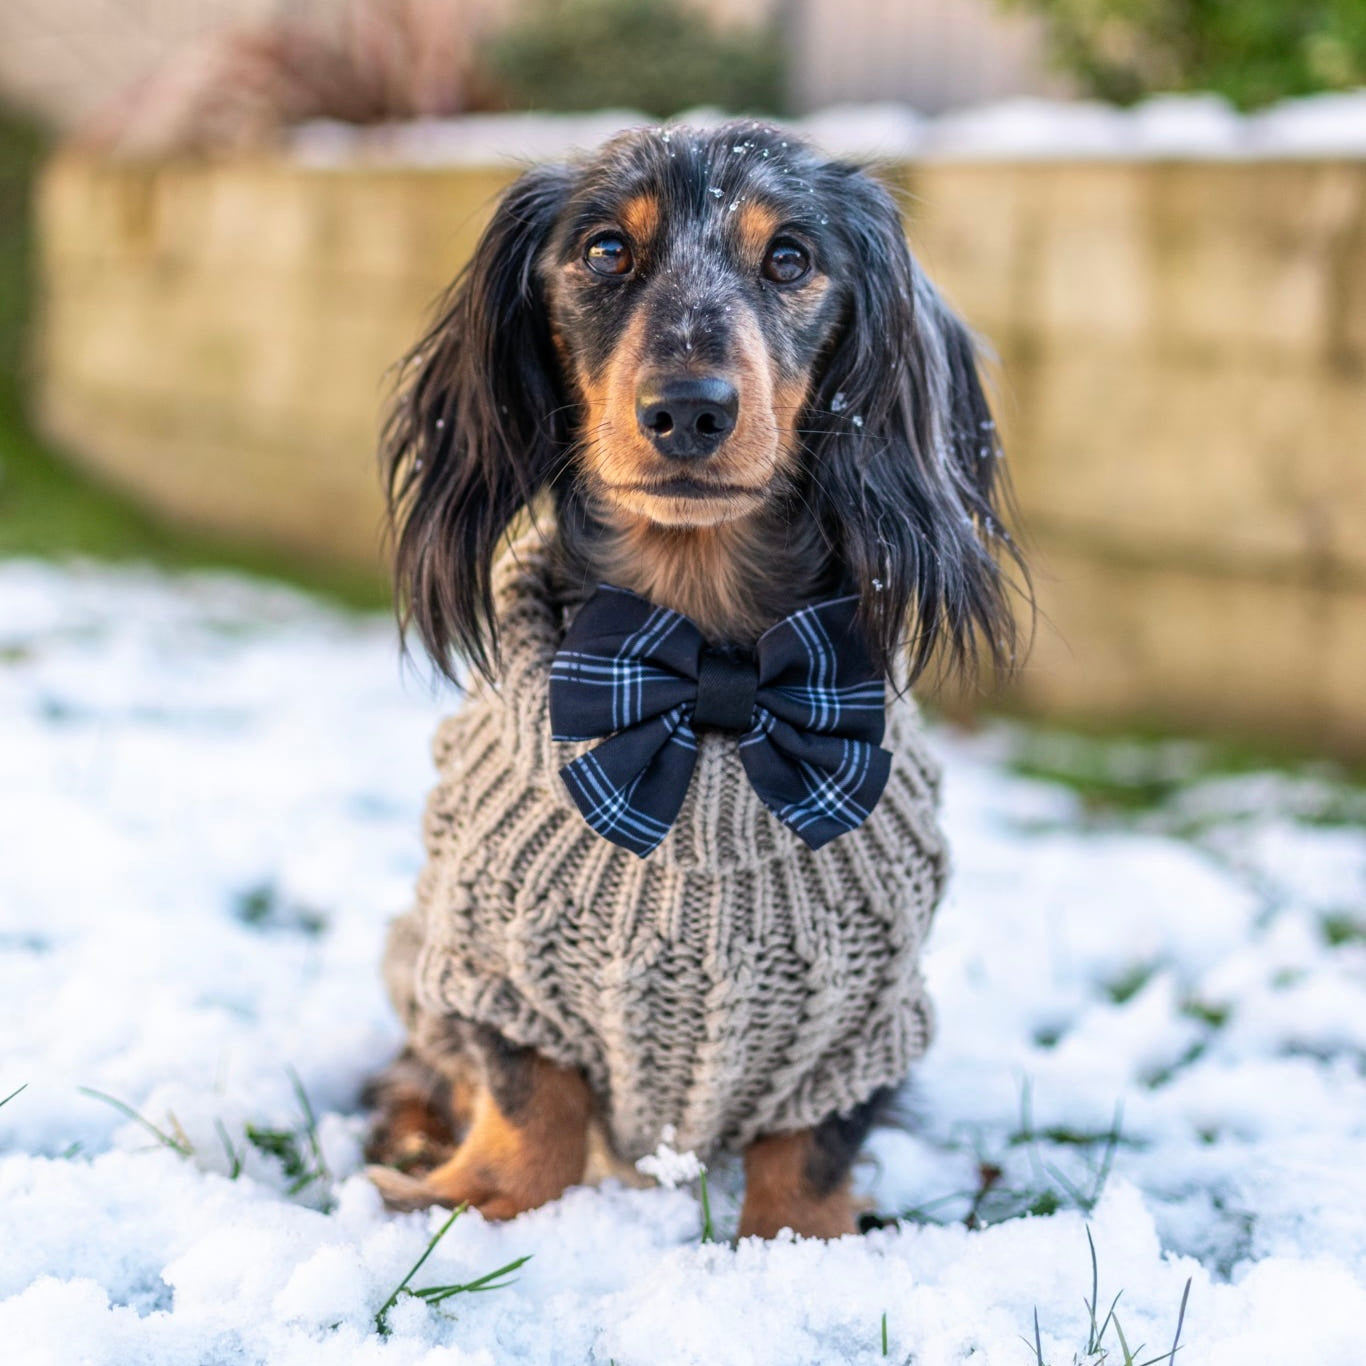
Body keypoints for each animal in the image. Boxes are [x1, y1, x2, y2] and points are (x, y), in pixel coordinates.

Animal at [363, 120, 1027, 1240]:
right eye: (603, 251)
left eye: (790, 259)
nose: (686, 411)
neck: (707, 678)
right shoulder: (490, 968)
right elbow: (529, 1101)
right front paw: (484, 1205)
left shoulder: (863, 1021)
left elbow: (810, 1153)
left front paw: (797, 1247)